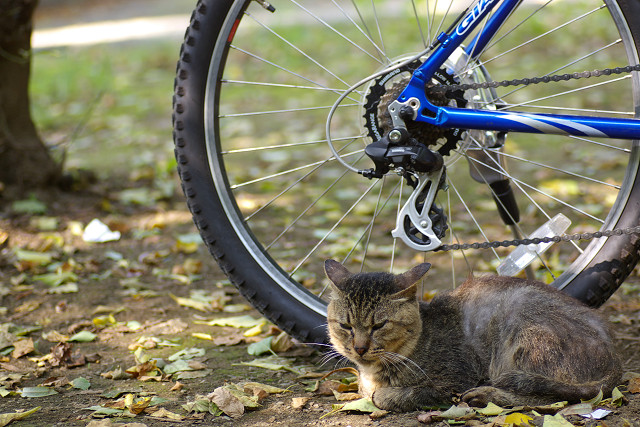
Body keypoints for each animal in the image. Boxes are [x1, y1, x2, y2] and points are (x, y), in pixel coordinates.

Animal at [324, 260, 620, 412]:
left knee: (552, 398)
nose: (359, 348)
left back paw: (485, 395)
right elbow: (365, 389)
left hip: (521, 338)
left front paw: (387, 394)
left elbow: (392, 395)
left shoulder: (454, 380)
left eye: (379, 325)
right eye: (346, 326)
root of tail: (614, 362)